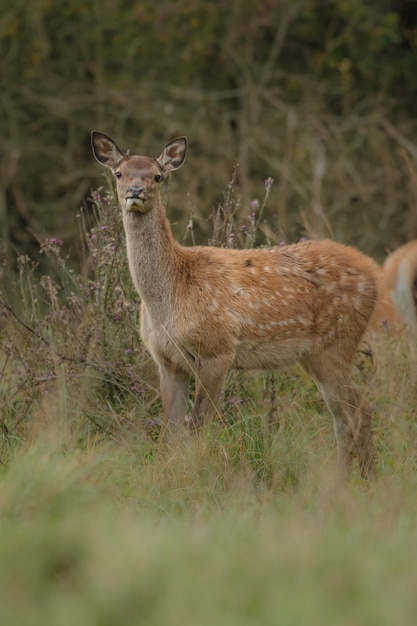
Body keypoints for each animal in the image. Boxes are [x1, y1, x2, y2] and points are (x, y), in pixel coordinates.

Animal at [92, 129, 380, 476]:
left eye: (158, 176)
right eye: (118, 173)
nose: (136, 191)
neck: (170, 295)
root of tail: (374, 273)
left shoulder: (218, 349)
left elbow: (199, 426)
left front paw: (196, 475)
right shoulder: (167, 360)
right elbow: (169, 430)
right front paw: (167, 474)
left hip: (336, 345)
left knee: (357, 410)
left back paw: (353, 478)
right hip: (317, 355)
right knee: (349, 412)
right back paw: (353, 478)